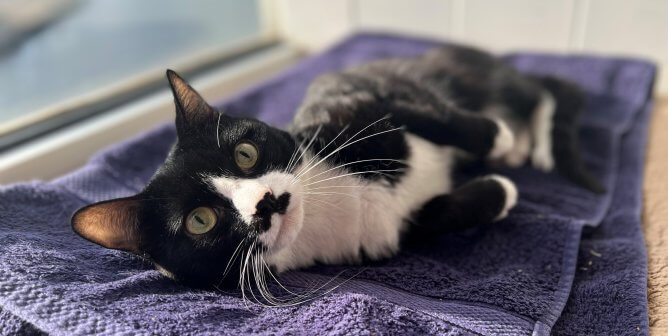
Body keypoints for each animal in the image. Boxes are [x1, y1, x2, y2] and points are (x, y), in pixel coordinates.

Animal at [72, 44, 600, 302]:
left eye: (245, 153)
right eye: (200, 221)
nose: (266, 200)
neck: (329, 200)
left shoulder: (355, 97)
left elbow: (432, 116)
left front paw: (495, 139)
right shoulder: (386, 234)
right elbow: (435, 217)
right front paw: (499, 192)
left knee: (545, 88)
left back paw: (528, 141)